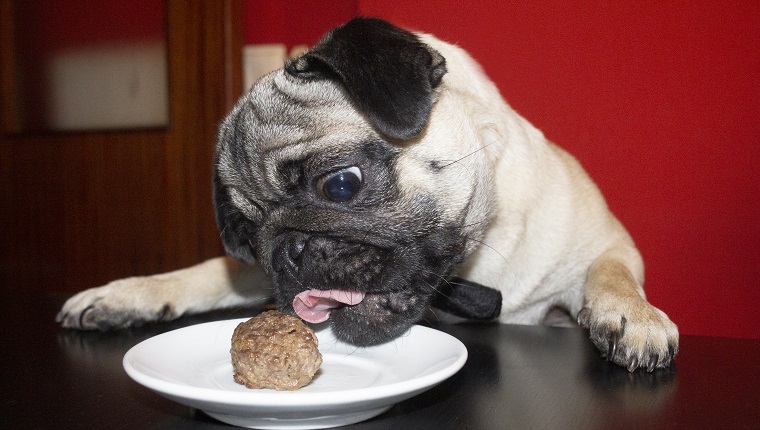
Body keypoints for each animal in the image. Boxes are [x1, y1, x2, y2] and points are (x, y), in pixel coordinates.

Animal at [59, 18, 676, 372]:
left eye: (341, 184)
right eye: (250, 238)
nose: (289, 251)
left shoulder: (607, 245)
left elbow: (612, 273)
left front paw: (633, 317)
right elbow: (208, 271)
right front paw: (129, 294)